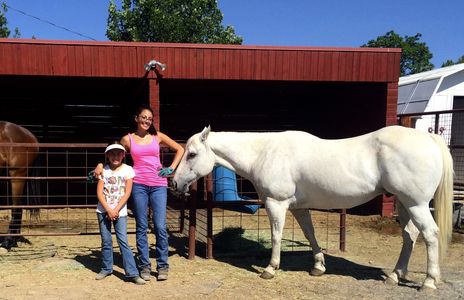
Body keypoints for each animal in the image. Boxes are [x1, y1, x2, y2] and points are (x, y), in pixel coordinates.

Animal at [172, 125, 452, 290]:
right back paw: (395, 275)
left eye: (192, 154)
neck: (265, 152)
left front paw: (270, 269)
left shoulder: (276, 203)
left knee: (430, 235)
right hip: (405, 204)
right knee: (409, 236)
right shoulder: (298, 207)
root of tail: (429, 137)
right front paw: (318, 266)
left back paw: (428, 282)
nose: (174, 182)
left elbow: (276, 236)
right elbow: (310, 234)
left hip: (416, 204)